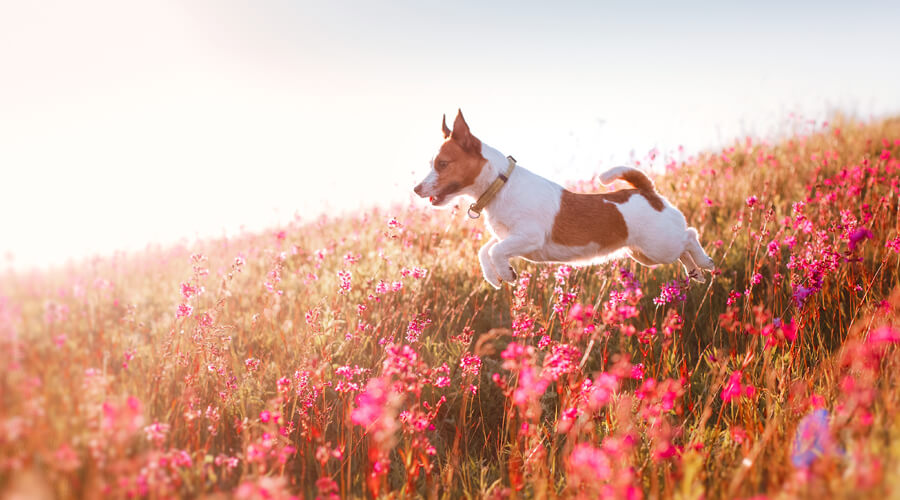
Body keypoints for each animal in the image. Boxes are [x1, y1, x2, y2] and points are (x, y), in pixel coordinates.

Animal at [412, 109, 712, 290]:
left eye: (442, 164)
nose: (415, 189)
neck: (500, 185)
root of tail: (646, 191)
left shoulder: (529, 237)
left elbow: (495, 250)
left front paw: (505, 273)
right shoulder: (509, 237)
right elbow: (486, 250)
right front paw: (495, 276)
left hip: (659, 246)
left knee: (689, 236)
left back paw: (705, 261)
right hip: (645, 255)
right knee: (683, 249)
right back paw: (694, 271)